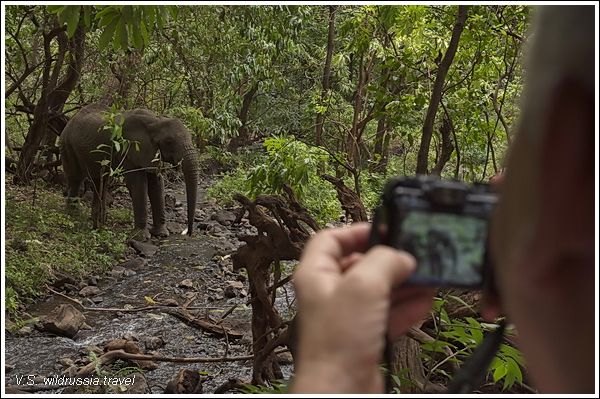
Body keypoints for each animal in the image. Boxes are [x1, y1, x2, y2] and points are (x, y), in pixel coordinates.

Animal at [60, 104, 198, 239]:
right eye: (169, 142)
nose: (189, 233)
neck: (156, 121)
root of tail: (70, 120)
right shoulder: (129, 149)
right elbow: (138, 184)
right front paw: (141, 237)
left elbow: (156, 183)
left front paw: (161, 234)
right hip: (68, 145)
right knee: (76, 178)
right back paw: (74, 214)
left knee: (99, 182)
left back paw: (97, 220)